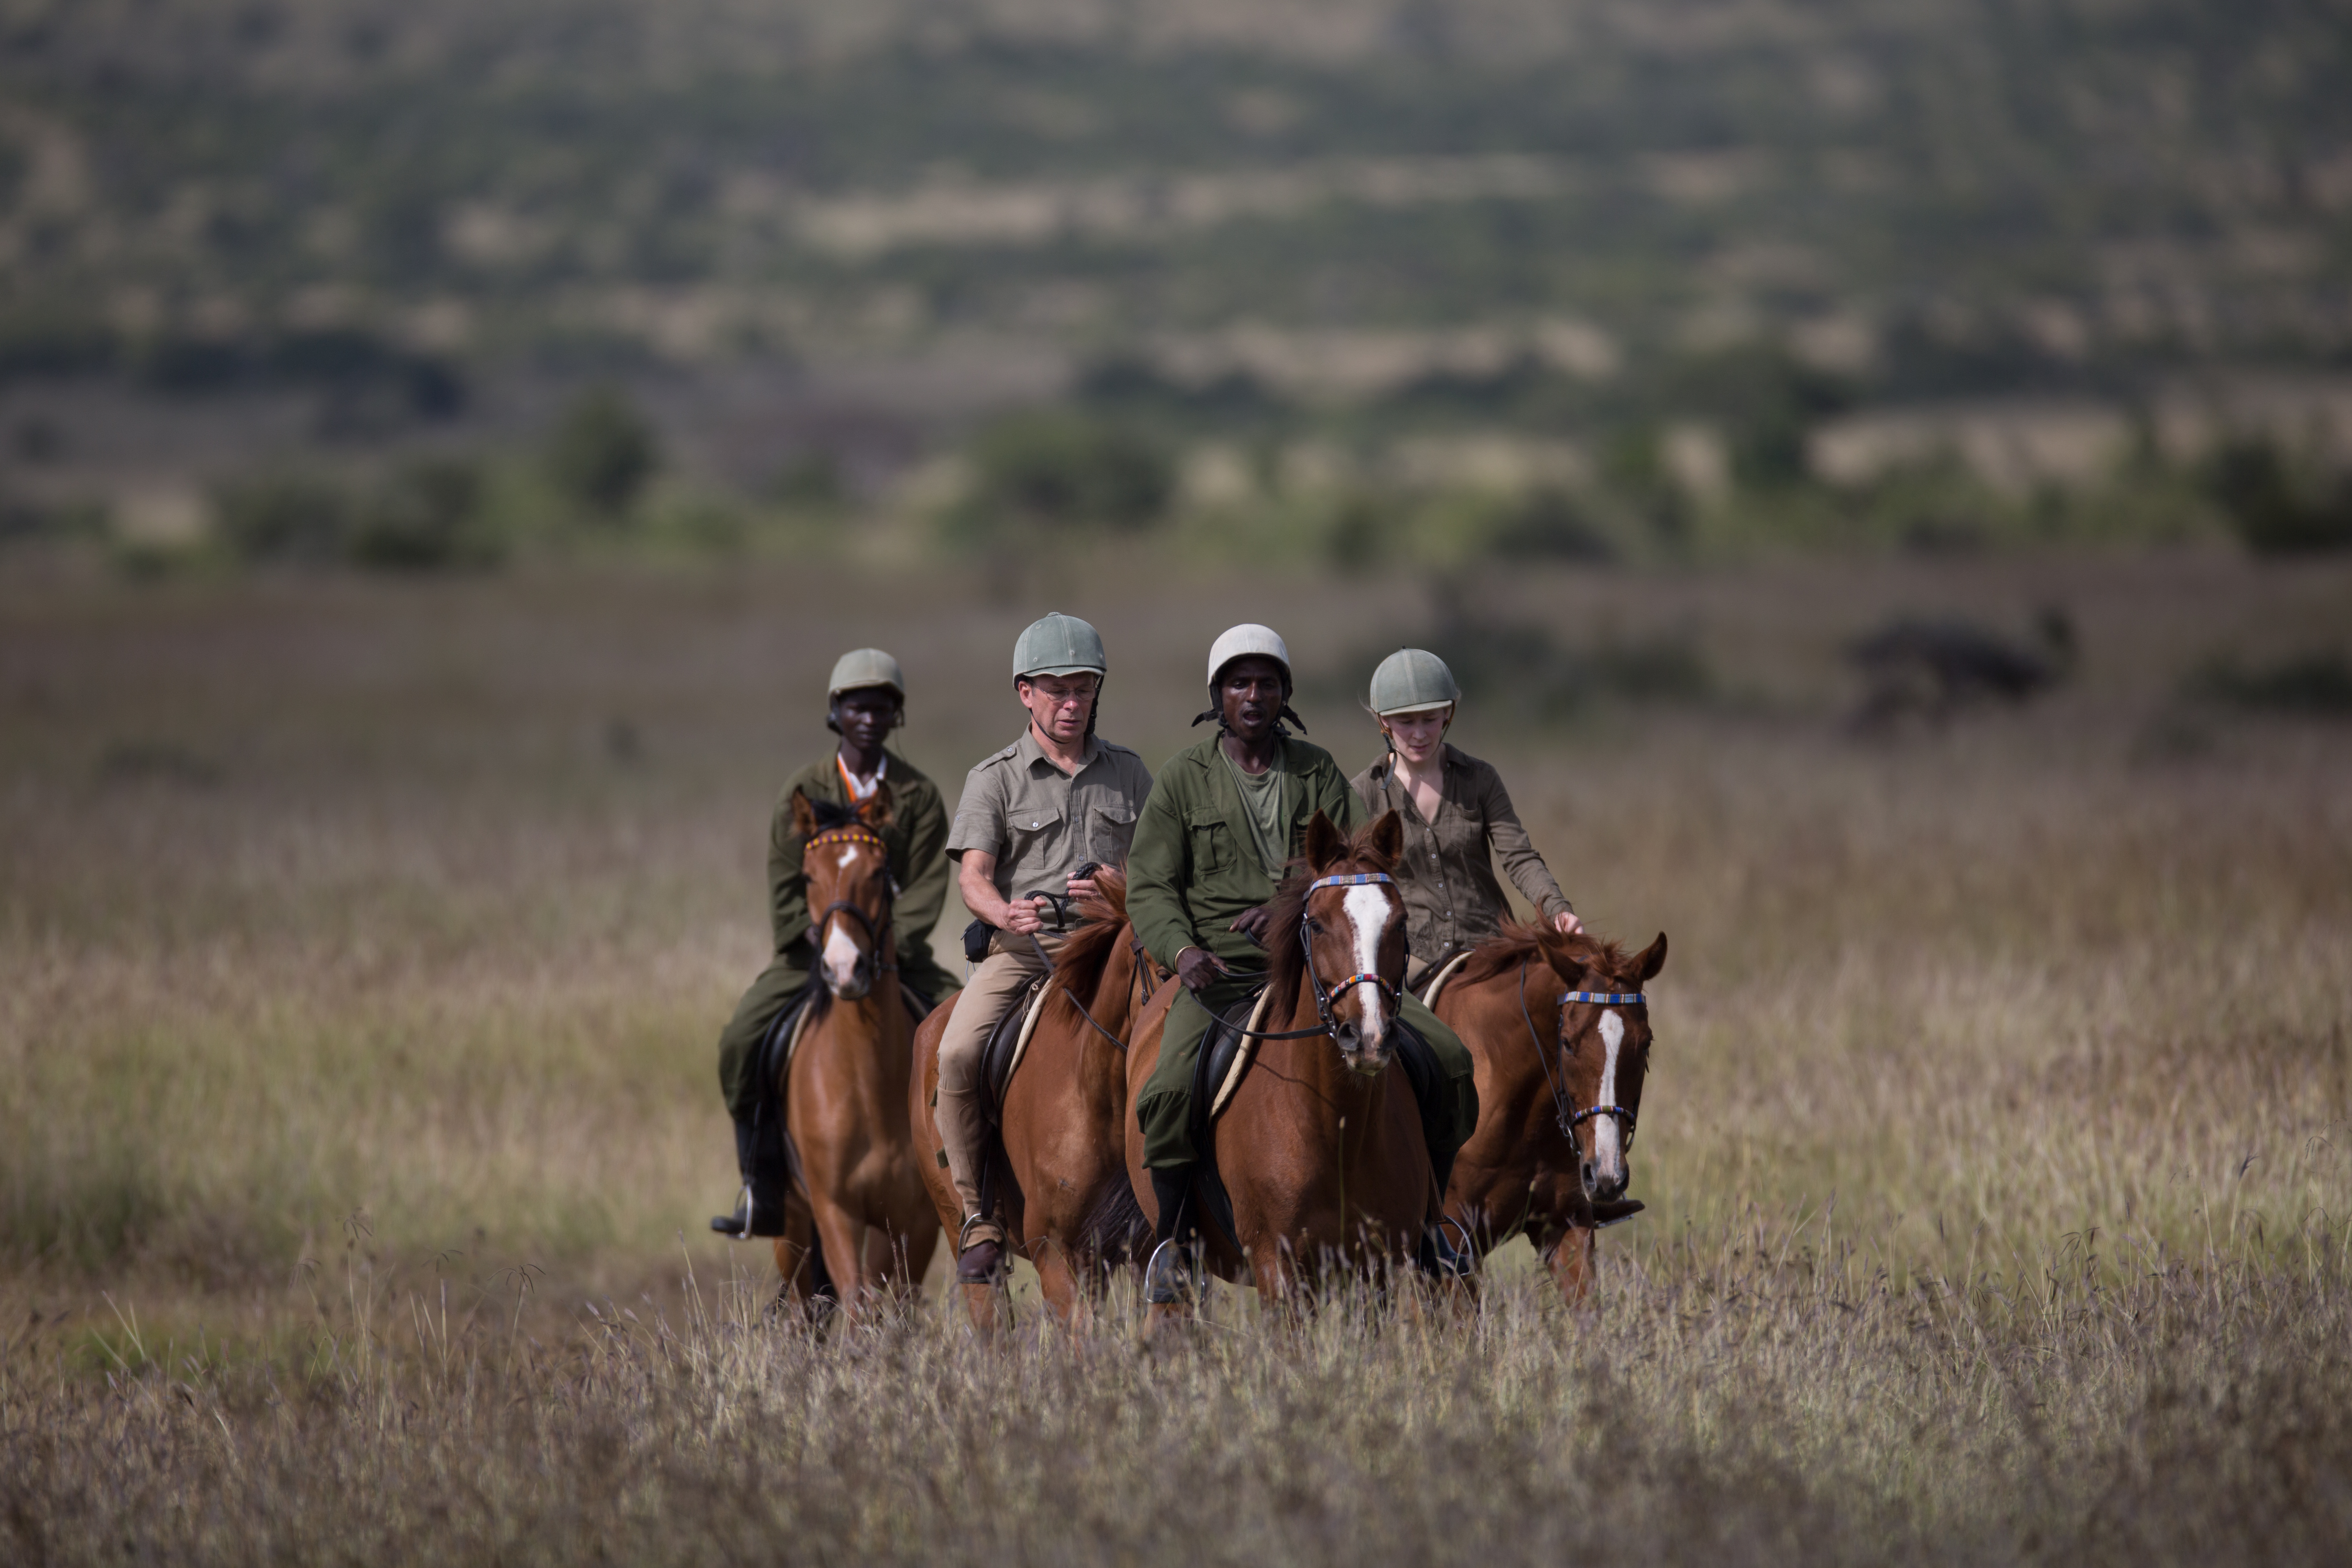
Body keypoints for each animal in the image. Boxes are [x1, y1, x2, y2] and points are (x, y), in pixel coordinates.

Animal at [769, 786, 941, 1314]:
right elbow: (858, 1306)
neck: (869, 1082)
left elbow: (895, 1308)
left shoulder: (913, 1221)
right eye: (808, 876)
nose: (846, 968)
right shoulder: (836, 1212)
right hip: (792, 1226)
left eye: (879, 872)